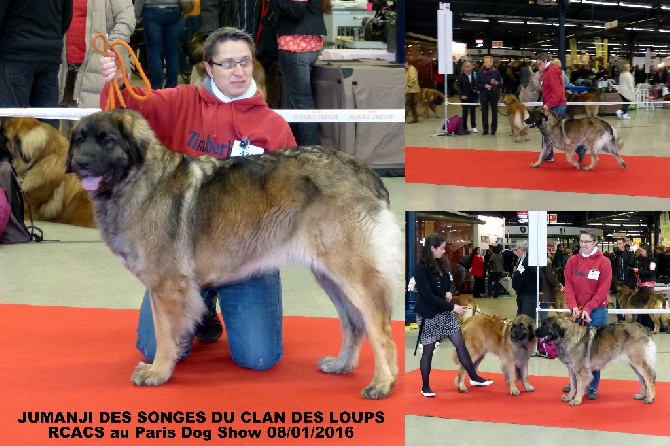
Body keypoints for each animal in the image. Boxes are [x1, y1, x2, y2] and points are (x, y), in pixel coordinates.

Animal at [67, 110, 404, 398]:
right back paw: (342, 365)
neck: (140, 182)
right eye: (80, 139)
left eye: (107, 140)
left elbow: (163, 334)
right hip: (329, 275)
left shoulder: (167, 286)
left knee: (378, 326)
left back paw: (383, 382)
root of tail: (361, 170)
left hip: (351, 271)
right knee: (353, 324)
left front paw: (158, 372)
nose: (81, 163)